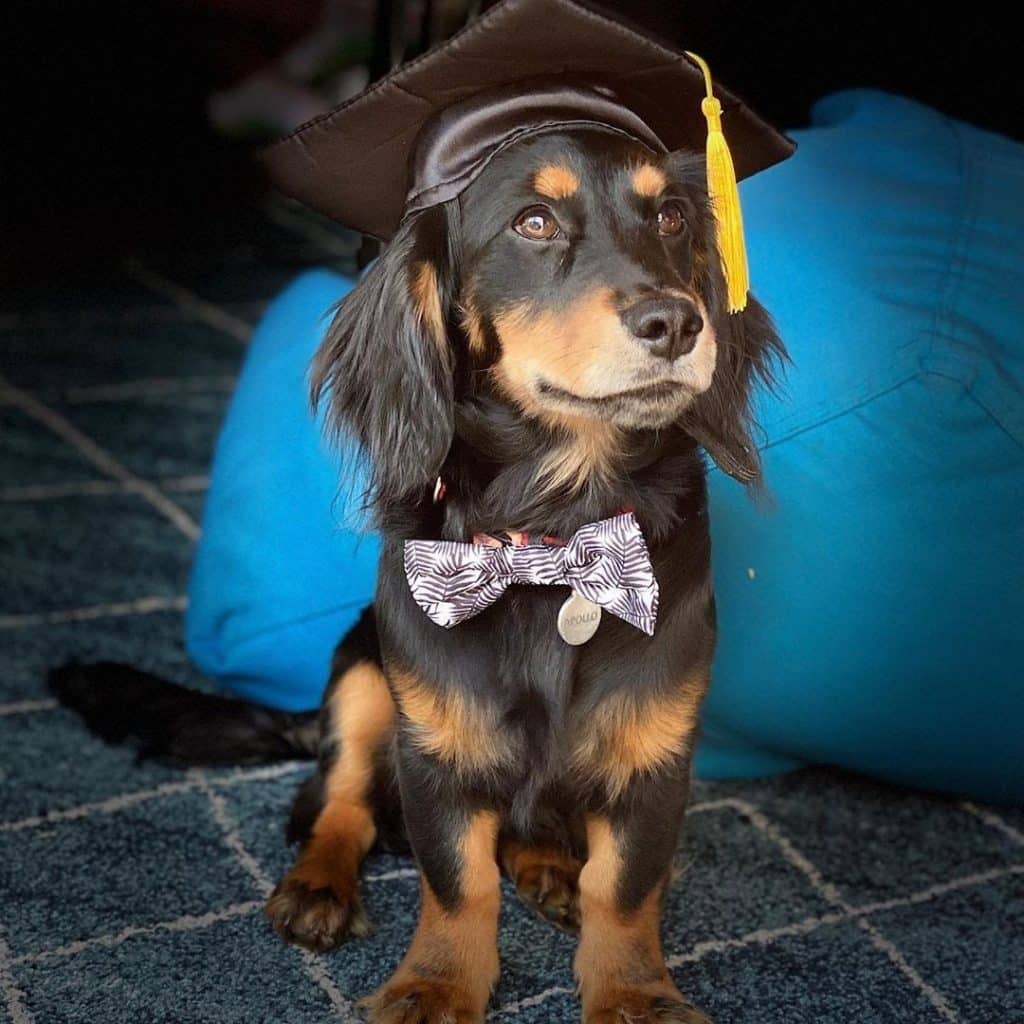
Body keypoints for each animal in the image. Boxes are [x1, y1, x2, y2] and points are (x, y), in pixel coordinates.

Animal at [51, 128, 778, 1024]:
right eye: (533, 221)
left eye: (673, 216)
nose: (677, 322)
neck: (554, 533)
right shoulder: (437, 742)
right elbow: (458, 883)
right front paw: (436, 983)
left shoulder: (654, 753)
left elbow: (624, 889)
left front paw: (635, 994)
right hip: (363, 673)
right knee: (338, 804)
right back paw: (319, 887)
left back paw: (547, 866)